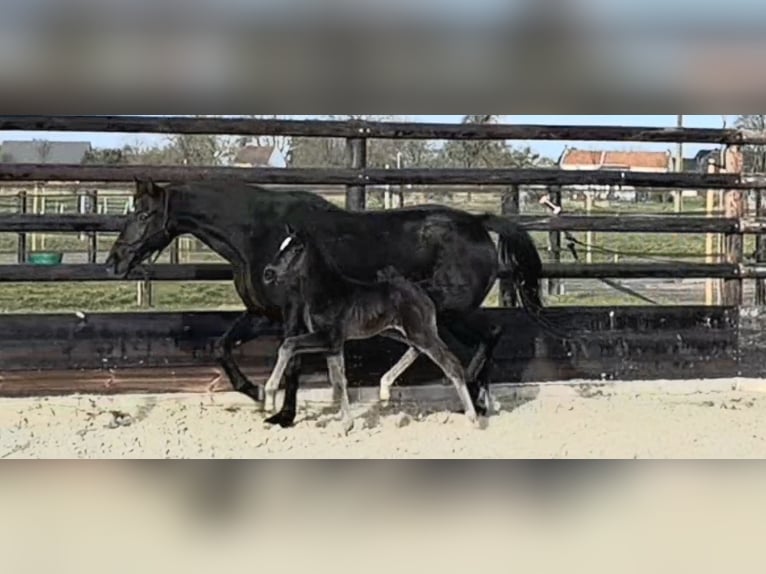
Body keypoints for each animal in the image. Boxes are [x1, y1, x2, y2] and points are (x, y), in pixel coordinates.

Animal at [262, 224, 482, 432]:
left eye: (296, 249)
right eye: (281, 246)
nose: (268, 273)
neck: (327, 292)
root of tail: (422, 290)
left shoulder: (329, 337)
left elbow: (288, 345)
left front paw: (269, 399)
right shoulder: (333, 345)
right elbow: (339, 380)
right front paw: (346, 424)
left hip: (420, 332)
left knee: (451, 364)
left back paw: (473, 418)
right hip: (397, 332)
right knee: (416, 350)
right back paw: (384, 389)